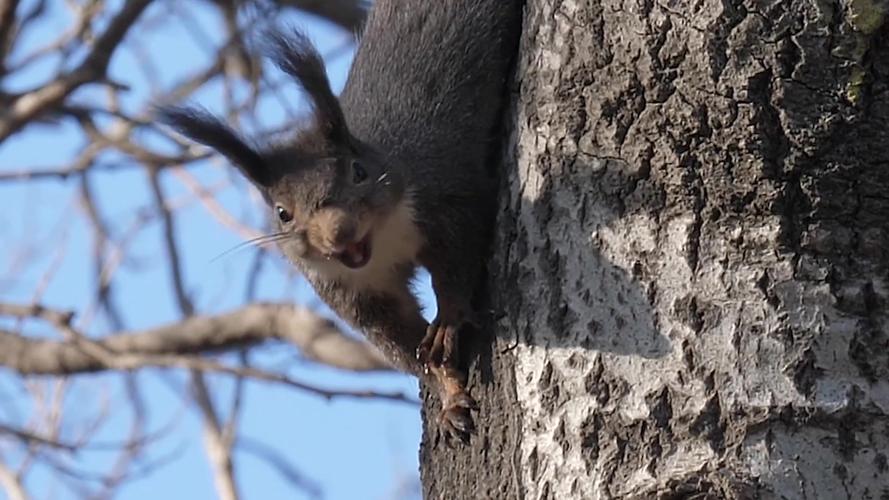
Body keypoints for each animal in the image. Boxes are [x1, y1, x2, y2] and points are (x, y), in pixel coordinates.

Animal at [158, 1, 520, 444]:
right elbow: (397, 338)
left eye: (358, 172)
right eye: (282, 212)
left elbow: (460, 254)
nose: (338, 233)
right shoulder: (349, 291)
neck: (383, 241)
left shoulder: (447, 194)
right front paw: (449, 394)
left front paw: (449, 317)